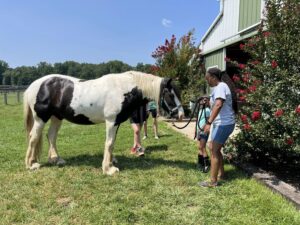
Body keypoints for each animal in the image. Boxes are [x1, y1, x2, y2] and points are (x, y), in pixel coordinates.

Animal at [23, 71, 184, 175]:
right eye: (170, 94)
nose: (181, 115)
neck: (124, 88)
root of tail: (33, 86)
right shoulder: (111, 121)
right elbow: (109, 143)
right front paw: (108, 169)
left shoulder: (116, 122)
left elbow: (112, 143)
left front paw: (111, 163)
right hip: (41, 118)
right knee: (33, 137)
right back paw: (31, 164)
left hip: (57, 117)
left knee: (51, 136)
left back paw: (56, 160)